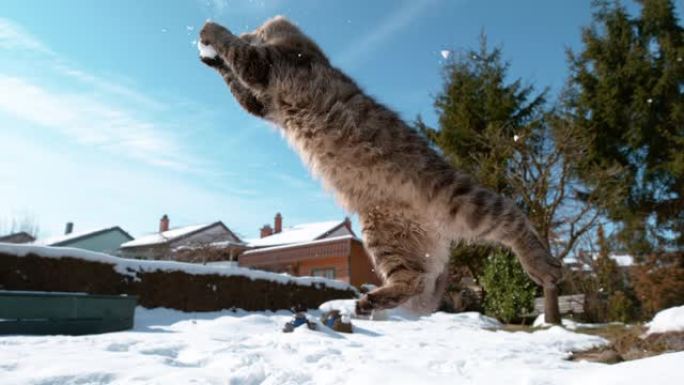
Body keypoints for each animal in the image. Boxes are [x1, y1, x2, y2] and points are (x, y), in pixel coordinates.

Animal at [198, 15, 560, 316]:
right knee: (414, 280)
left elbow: (238, 52)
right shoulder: (262, 100)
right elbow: (239, 87)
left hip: (464, 202)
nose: (249, 32)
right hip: (385, 235)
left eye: (251, 30)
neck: (306, 51)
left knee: (514, 218)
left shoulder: (268, 68)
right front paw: (211, 55)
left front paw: (212, 33)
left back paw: (542, 265)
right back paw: (372, 300)